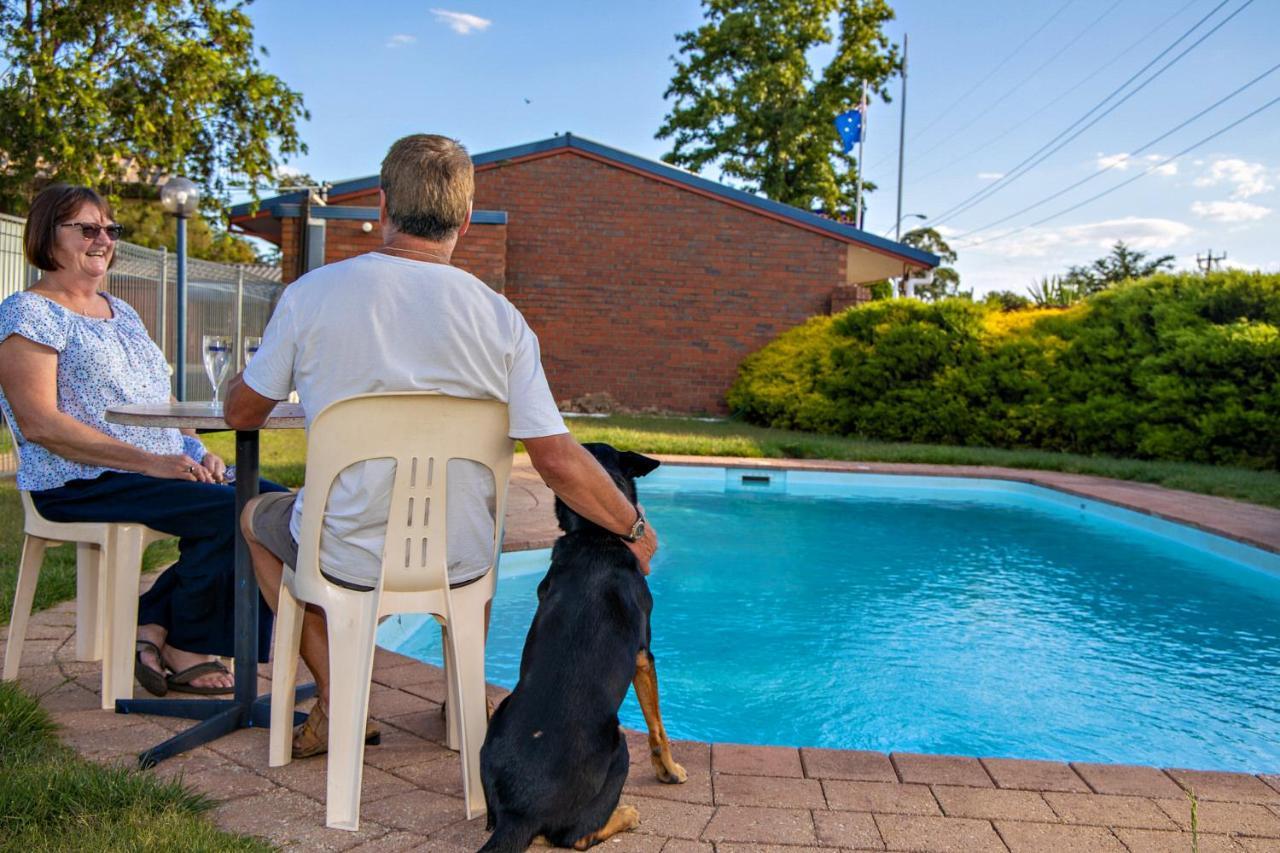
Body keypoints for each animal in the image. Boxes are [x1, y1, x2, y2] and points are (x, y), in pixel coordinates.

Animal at [481, 440, 686, 845]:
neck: (594, 535)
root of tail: (518, 813)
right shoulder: (644, 655)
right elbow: (658, 727)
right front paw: (669, 771)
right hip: (618, 745)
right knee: (575, 837)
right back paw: (625, 814)